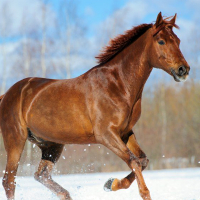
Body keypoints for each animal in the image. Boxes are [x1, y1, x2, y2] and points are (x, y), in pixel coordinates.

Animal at [0, 12, 190, 200]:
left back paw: (67, 195)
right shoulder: (106, 134)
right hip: (16, 139)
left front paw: (110, 184)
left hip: (51, 144)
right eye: (161, 41)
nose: (183, 70)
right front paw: (139, 192)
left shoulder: (125, 132)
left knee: (41, 175)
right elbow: (134, 161)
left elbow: (143, 160)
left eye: (178, 40)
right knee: (9, 180)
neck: (117, 85)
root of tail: (7, 95)